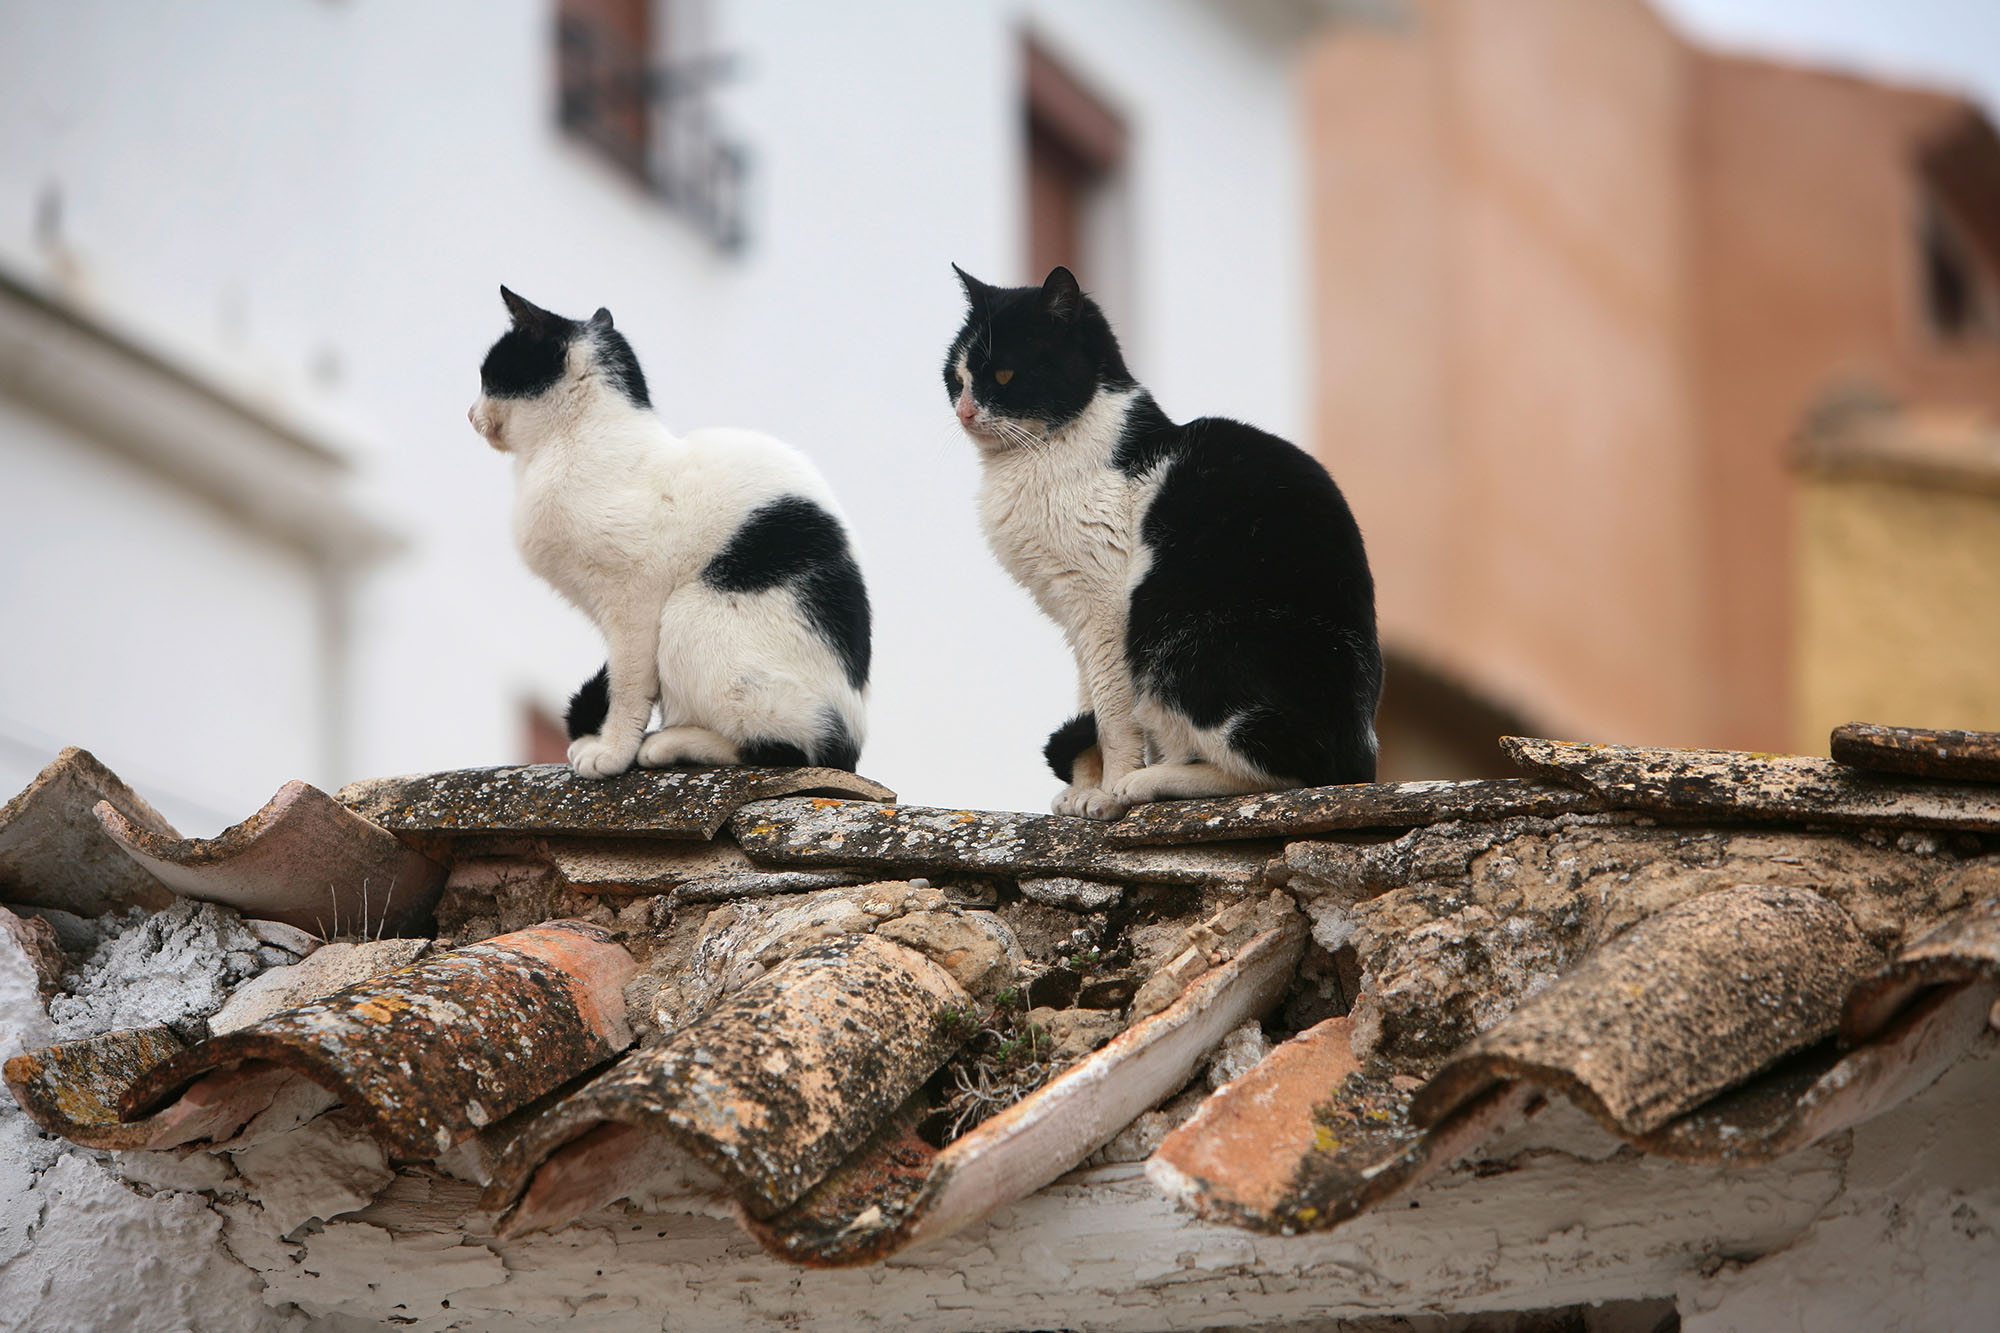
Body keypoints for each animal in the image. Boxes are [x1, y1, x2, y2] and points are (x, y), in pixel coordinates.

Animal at [476, 286, 876, 772]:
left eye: (487, 376)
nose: (469, 413)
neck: (574, 441)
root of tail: (851, 742)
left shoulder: (634, 603)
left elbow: (628, 687)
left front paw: (612, 752)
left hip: (691, 615)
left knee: (784, 748)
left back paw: (670, 743)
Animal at [944, 264, 1384, 816]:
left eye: (1004, 375)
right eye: (955, 377)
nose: (963, 412)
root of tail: (1362, 759)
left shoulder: (1106, 606)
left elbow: (1113, 715)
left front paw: (1107, 793)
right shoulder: (1076, 616)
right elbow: (1089, 704)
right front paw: (1084, 790)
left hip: (1172, 634)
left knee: (1286, 772)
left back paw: (1146, 783)